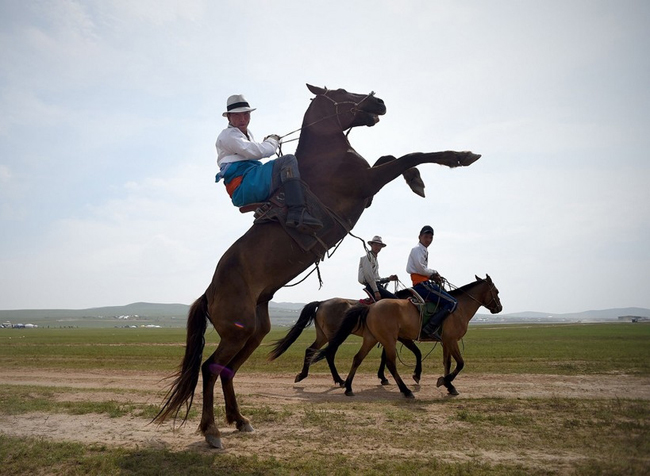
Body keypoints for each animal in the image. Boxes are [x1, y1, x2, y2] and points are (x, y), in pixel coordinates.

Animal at [268, 298, 422, 386]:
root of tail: (322, 303)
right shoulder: (388, 337)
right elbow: (386, 356)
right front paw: (383, 377)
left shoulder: (386, 337)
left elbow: (385, 356)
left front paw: (382, 377)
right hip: (333, 336)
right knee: (329, 354)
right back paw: (340, 380)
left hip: (323, 336)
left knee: (310, 349)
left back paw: (302, 375)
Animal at [314, 276, 502, 398]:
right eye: (497, 291)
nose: (499, 308)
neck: (459, 308)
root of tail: (371, 307)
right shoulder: (450, 340)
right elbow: (460, 363)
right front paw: (443, 381)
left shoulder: (445, 342)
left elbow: (446, 362)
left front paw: (449, 385)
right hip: (384, 339)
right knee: (389, 363)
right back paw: (405, 390)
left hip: (371, 338)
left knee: (356, 358)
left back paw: (348, 387)